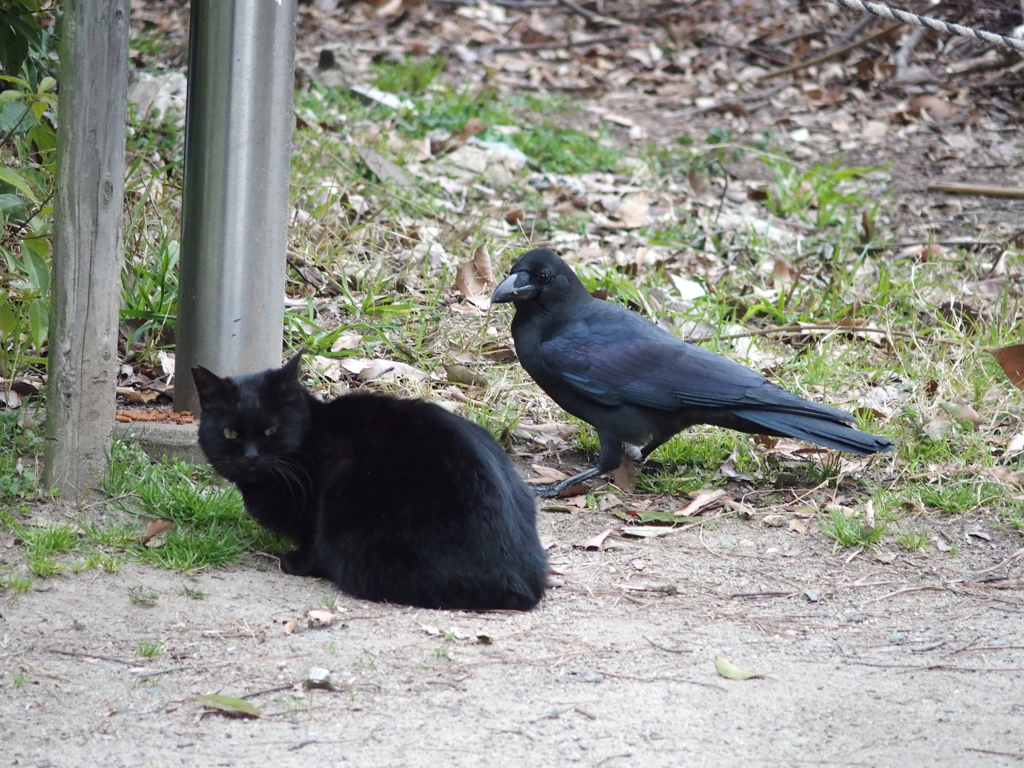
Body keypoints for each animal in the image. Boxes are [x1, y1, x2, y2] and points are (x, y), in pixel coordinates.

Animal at [189, 354, 548, 614]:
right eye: (230, 433)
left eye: (270, 431)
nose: (250, 457)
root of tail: (520, 583)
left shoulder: (320, 512)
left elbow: (314, 544)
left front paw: (296, 562)